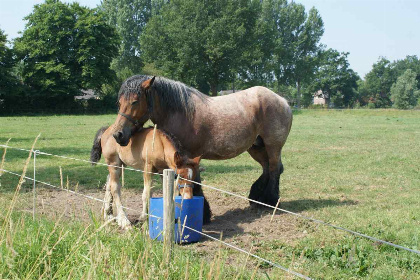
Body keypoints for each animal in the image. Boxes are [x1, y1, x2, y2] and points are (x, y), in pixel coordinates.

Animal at [113, 75, 294, 220]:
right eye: (119, 102)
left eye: (135, 101)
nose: (118, 135)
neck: (181, 113)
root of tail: (283, 101)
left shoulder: (190, 156)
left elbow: (195, 182)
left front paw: (204, 214)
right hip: (257, 148)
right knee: (267, 169)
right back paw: (258, 200)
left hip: (273, 146)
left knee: (274, 169)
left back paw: (271, 202)